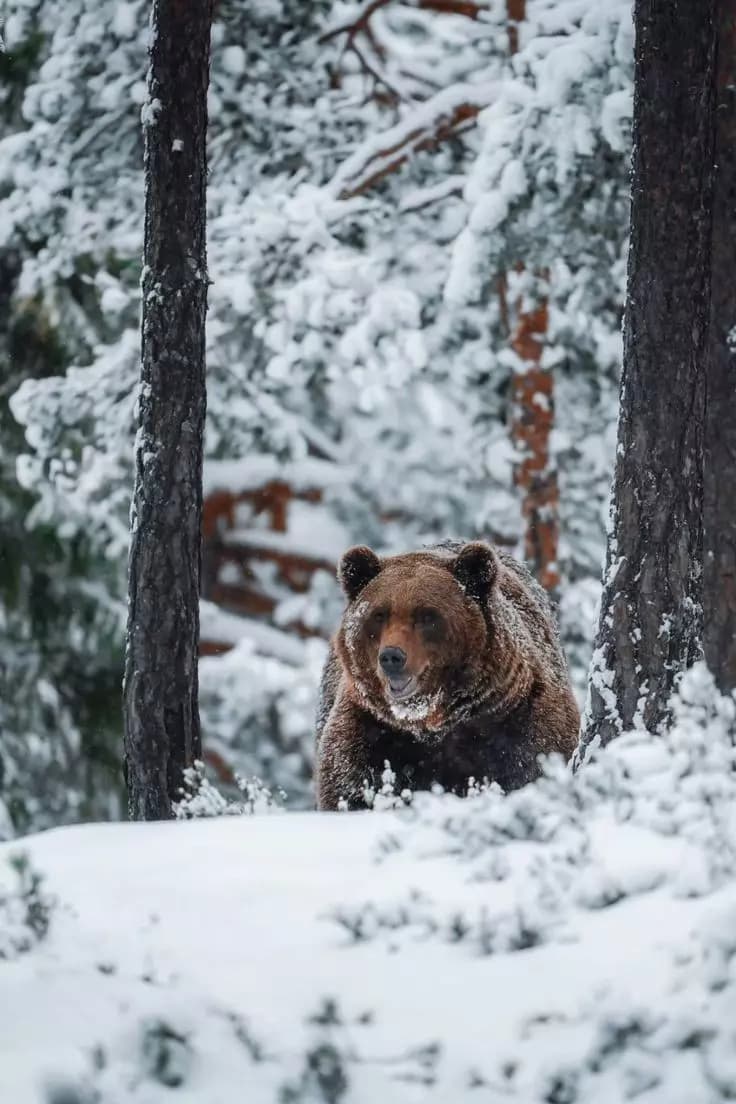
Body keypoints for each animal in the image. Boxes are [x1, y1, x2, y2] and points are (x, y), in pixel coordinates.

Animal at [315, 540, 580, 810]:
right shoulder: (370, 731)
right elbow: (351, 787)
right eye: (379, 614)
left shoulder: (518, 722)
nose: (391, 657)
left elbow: (529, 769)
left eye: (426, 615)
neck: (433, 724)